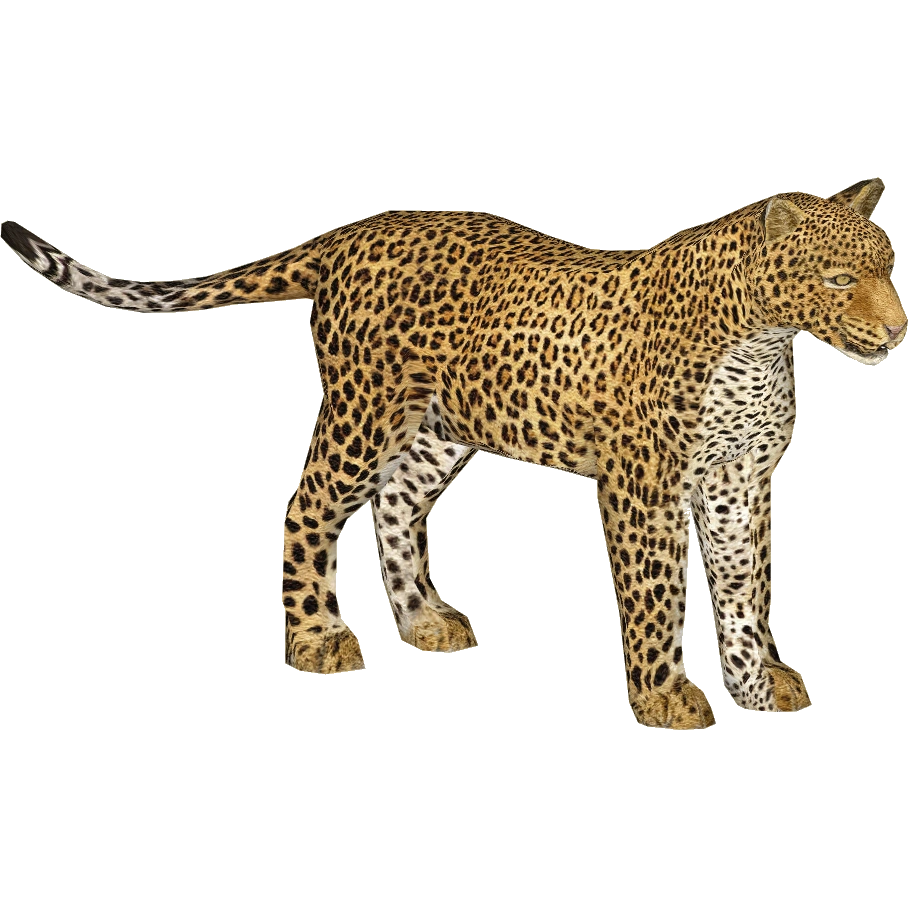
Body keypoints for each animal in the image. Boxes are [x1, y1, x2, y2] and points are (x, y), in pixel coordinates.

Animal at [3, 180, 903, 728]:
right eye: (835, 280)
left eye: (889, 267)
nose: (898, 328)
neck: (761, 340)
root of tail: (348, 234)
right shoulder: (643, 487)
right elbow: (656, 599)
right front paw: (665, 696)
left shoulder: (740, 482)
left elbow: (748, 592)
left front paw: (761, 684)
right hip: (364, 411)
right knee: (309, 507)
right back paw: (316, 639)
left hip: (439, 427)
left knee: (397, 503)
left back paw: (424, 619)